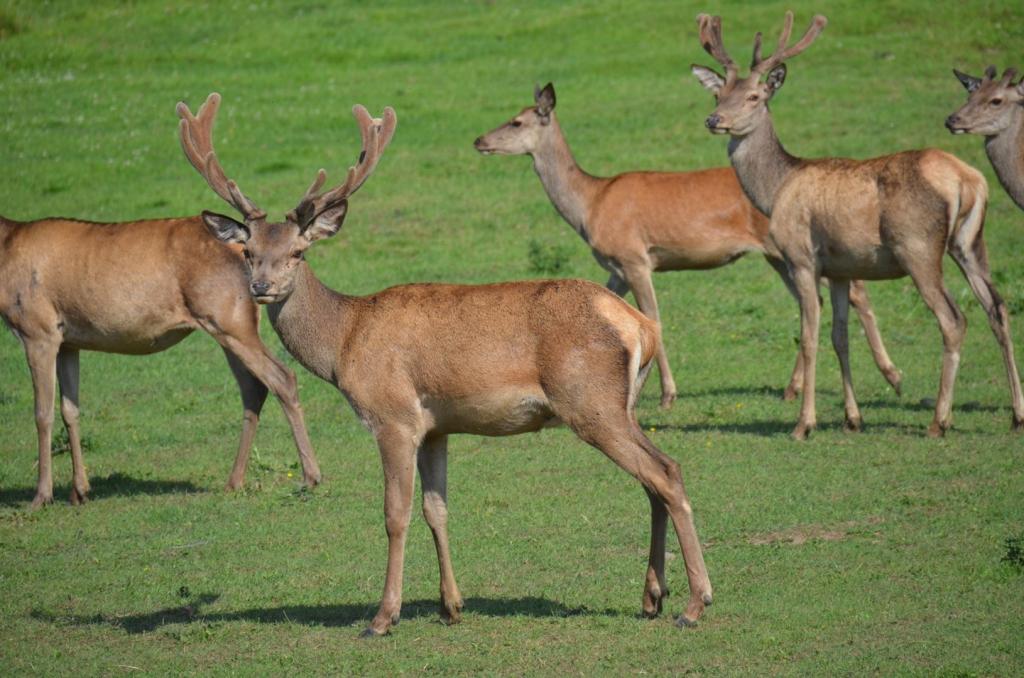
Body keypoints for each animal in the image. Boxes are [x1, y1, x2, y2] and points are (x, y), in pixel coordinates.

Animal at [0, 102, 321, 503]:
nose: (49, 495)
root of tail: (243, 244)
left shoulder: (36, 327)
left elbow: (41, 413)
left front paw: (41, 496)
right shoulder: (69, 338)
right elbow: (70, 409)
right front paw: (79, 490)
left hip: (227, 319)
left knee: (281, 377)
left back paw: (310, 475)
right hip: (233, 322)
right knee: (254, 387)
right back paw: (234, 480)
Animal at [176, 93, 716, 639]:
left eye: (299, 252)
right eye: (247, 250)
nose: (261, 287)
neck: (344, 342)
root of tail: (640, 326)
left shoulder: (393, 416)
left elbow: (395, 513)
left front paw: (383, 617)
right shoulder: (436, 426)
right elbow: (437, 509)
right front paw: (450, 605)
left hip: (590, 402)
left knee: (664, 474)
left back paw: (695, 604)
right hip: (621, 405)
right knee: (658, 476)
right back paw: (652, 597)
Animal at [475, 82, 901, 405]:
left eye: (516, 120)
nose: (479, 139)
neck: (590, 205)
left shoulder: (635, 257)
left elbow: (653, 316)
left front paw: (667, 394)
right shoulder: (615, 268)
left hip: (794, 249)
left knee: (853, 291)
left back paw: (891, 375)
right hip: (781, 257)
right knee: (819, 299)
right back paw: (796, 387)